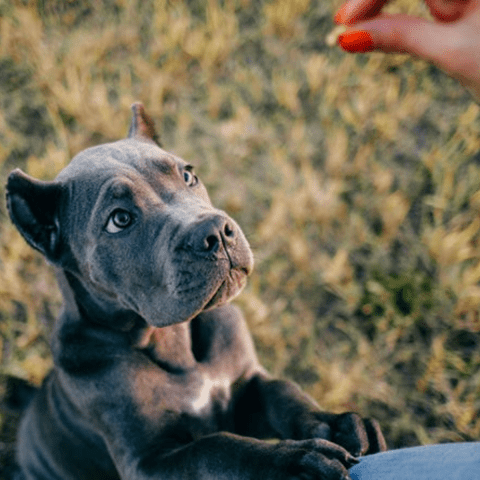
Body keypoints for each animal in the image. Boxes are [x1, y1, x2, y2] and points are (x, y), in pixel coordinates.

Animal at [4, 103, 386, 478]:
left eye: (188, 175)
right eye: (119, 220)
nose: (216, 231)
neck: (173, 342)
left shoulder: (247, 384)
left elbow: (283, 392)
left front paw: (335, 424)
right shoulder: (148, 460)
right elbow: (216, 449)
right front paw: (294, 461)